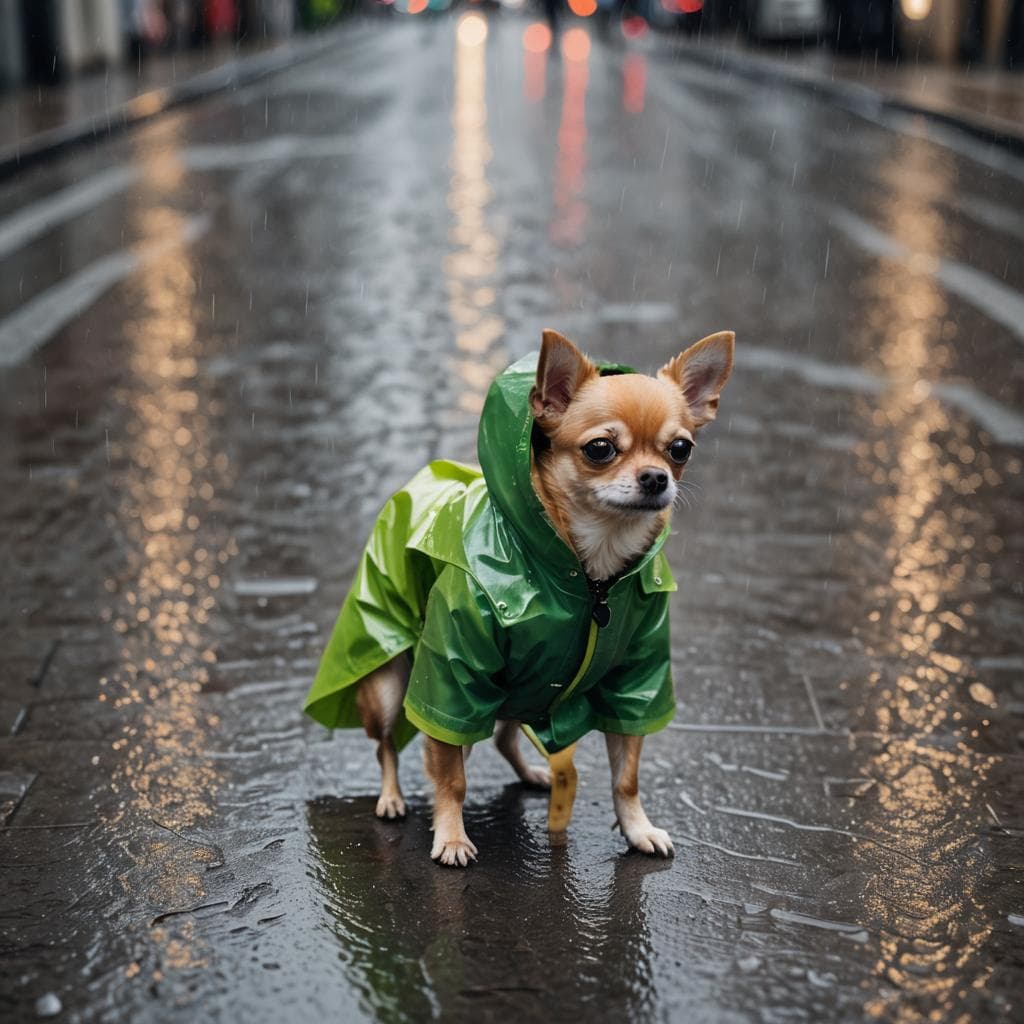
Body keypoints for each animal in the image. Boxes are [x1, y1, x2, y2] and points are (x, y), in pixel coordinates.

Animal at [303, 327, 737, 864]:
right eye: (600, 449)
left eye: (680, 449)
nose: (657, 477)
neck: (591, 572)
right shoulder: (449, 681)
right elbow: (451, 777)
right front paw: (451, 836)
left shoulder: (636, 680)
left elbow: (627, 776)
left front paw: (638, 828)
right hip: (389, 685)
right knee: (388, 746)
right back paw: (392, 797)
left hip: (521, 691)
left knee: (504, 739)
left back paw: (533, 773)